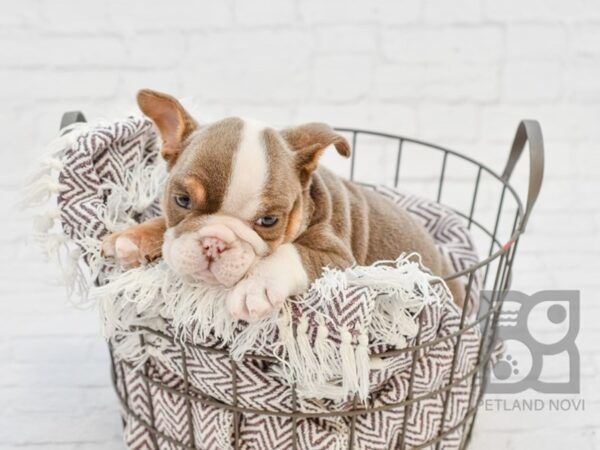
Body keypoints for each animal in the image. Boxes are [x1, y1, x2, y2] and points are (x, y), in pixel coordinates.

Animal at [102, 89, 464, 320]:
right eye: (182, 200)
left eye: (268, 221)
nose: (214, 243)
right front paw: (133, 237)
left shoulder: (340, 260)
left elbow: (293, 253)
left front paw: (256, 287)